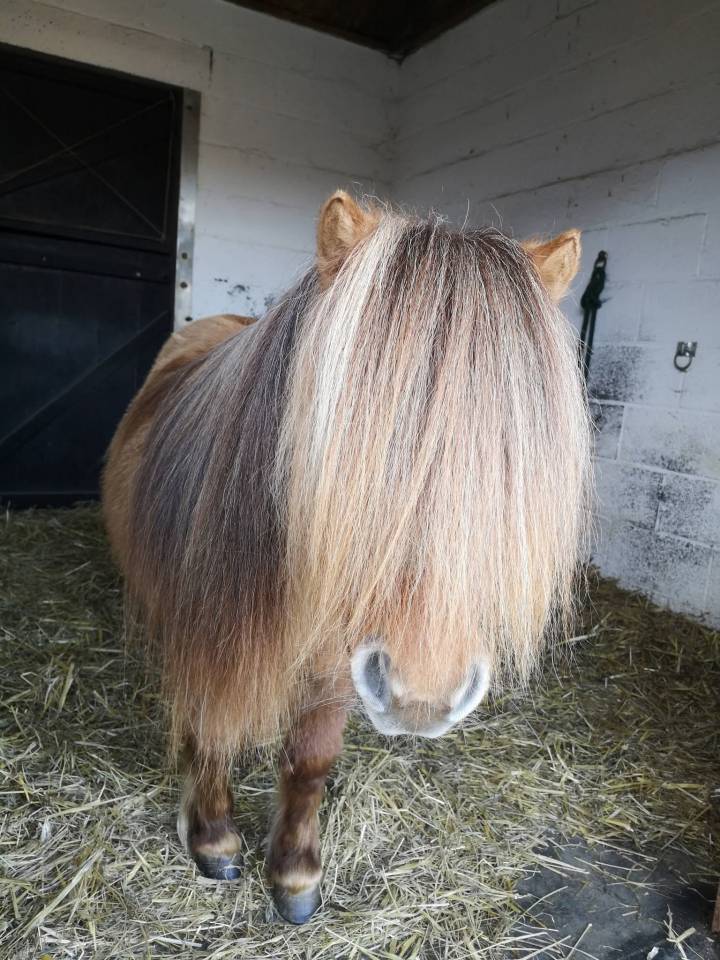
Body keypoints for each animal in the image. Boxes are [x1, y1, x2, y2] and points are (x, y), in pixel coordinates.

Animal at [102, 191, 591, 923]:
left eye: (512, 454)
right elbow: (211, 728)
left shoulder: (340, 659)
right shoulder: (205, 640)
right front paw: (213, 839)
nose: (424, 692)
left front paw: (295, 875)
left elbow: (310, 760)